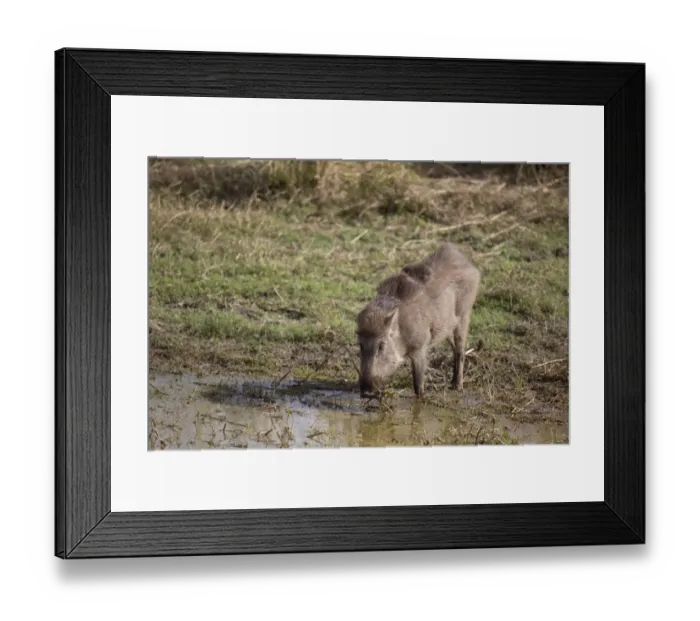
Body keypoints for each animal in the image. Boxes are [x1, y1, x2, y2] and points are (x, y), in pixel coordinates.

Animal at [355, 242, 481, 398]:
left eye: (381, 345)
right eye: (360, 344)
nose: (366, 392)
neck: (400, 327)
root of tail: (470, 266)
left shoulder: (420, 346)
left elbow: (418, 382)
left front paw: (420, 397)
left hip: (464, 316)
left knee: (460, 352)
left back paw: (457, 387)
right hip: (447, 328)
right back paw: (452, 384)